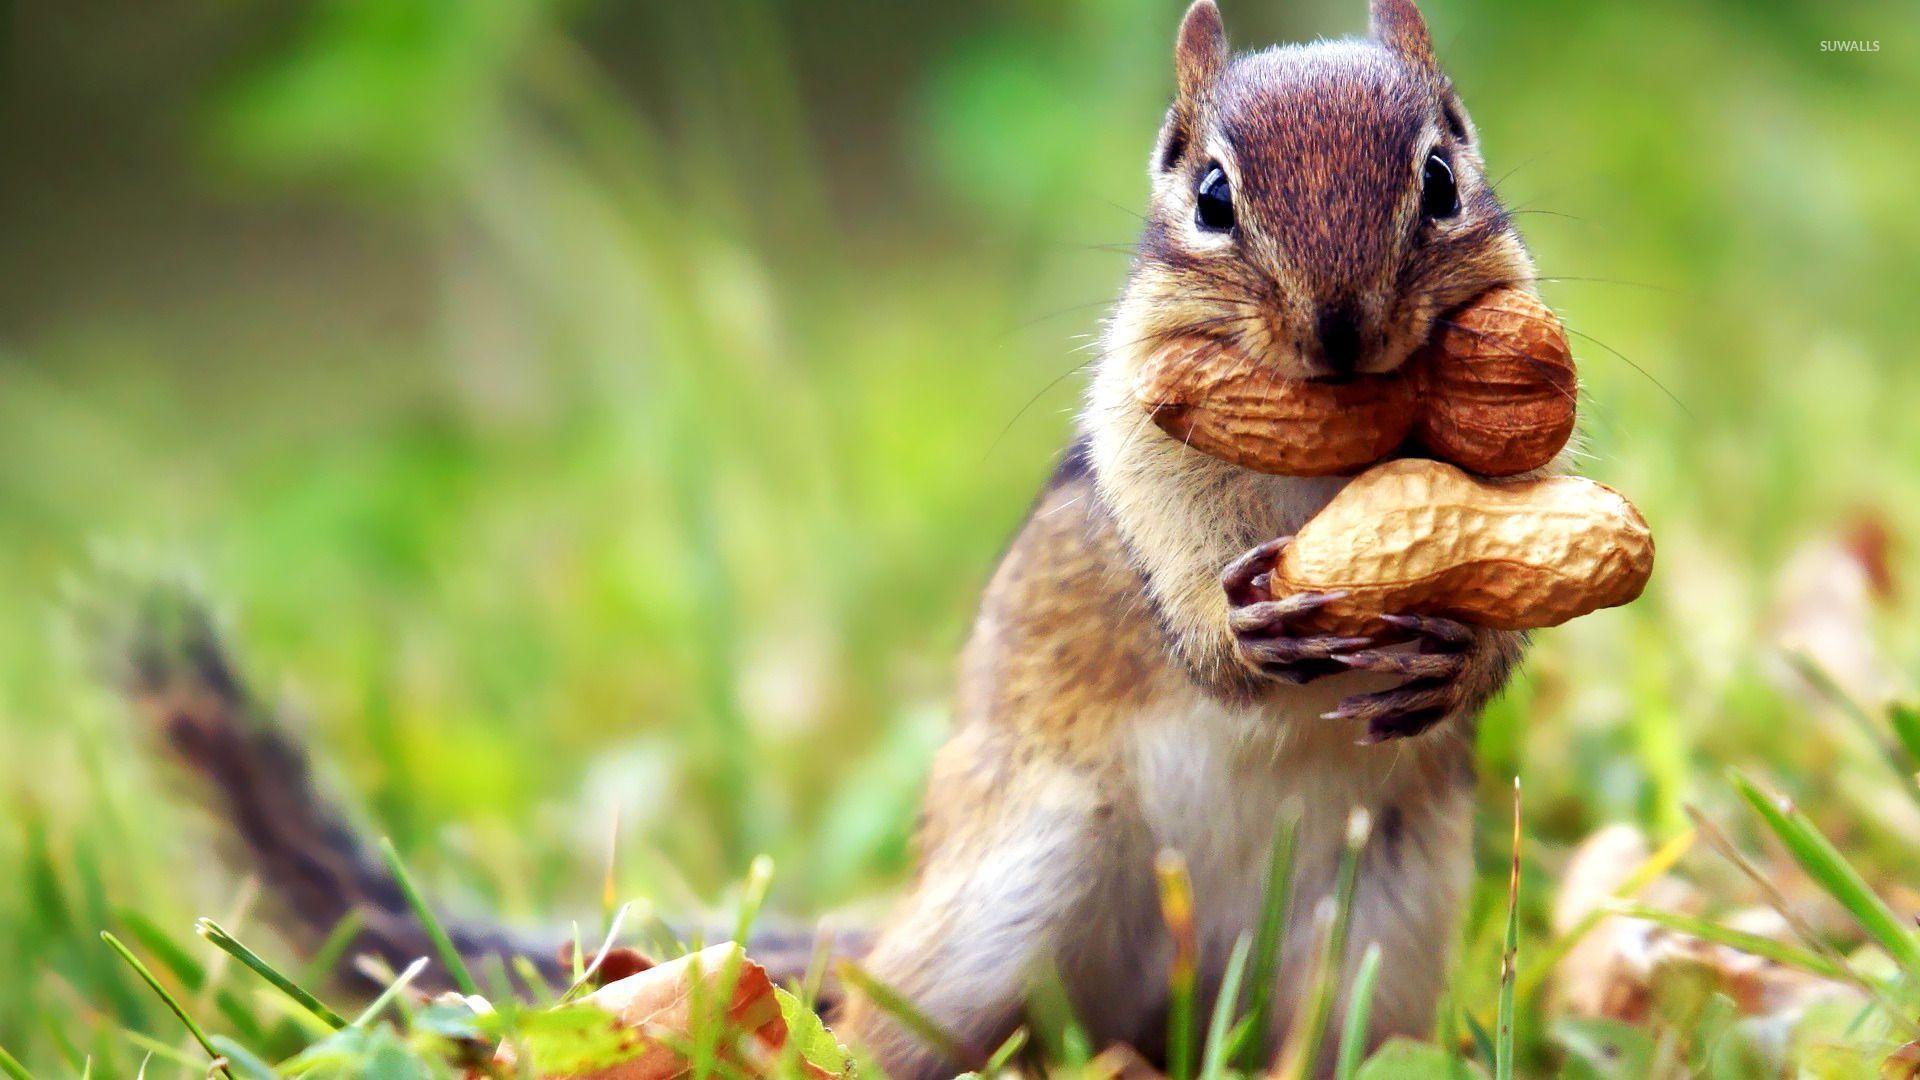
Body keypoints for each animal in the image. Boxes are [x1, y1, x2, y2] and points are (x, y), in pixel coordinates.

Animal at [111, 0, 1540, 1075]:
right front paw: (1234, 635)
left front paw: (1460, 660)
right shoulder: (1136, 448)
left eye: (1440, 174)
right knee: (876, 1035)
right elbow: (1169, 560)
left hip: (1378, 942)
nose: (1343, 333)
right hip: (1002, 906)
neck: (1335, 450)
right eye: (1210, 194)